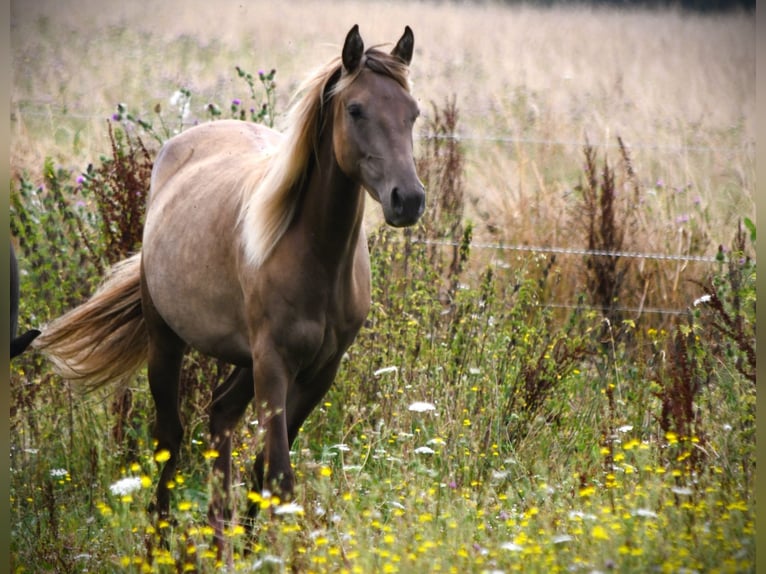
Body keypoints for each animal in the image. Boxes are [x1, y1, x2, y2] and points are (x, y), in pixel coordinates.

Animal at [33, 24, 424, 547]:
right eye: (356, 109)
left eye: (412, 113)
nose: (409, 199)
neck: (316, 255)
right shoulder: (274, 364)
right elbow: (280, 475)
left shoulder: (320, 371)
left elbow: (264, 468)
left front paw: (258, 547)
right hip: (167, 341)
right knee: (170, 438)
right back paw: (159, 543)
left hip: (243, 360)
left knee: (220, 416)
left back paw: (220, 539)